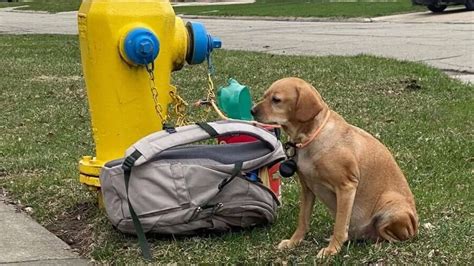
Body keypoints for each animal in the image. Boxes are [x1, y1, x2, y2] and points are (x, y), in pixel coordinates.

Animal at [252, 77, 418, 258]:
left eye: (276, 100)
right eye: (265, 95)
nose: (252, 110)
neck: (310, 137)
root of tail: (415, 226)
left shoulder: (346, 186)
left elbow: (339, 225)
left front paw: (332, 249)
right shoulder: (307, 188)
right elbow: (303, 220)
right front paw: (293, 242)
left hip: (390, 206)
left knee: (392, 237)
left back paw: (377, 245)